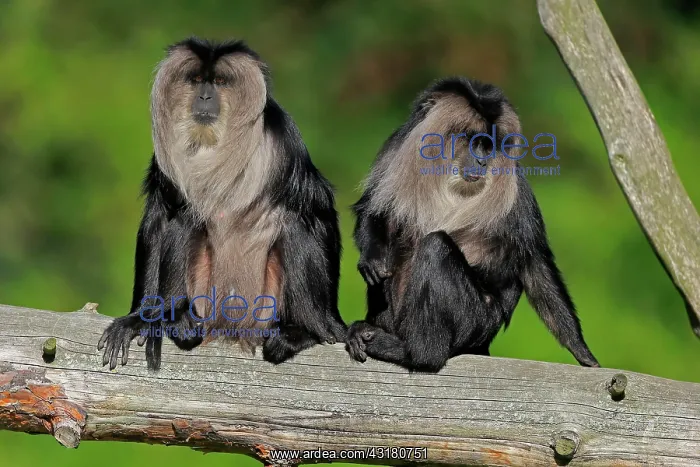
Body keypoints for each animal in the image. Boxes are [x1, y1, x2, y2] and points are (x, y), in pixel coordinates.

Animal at [98, 37, 346, 371]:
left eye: (219, 82)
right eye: (196, 80)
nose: (204, 96)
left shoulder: (285, 140)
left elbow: (317, 209)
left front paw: (329, 325)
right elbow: (160, 217)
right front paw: (140, 317)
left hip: (264, 309)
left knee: (297, 223)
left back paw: (300, 332)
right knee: (184, 218)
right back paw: (179, 320)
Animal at [345, 77, 599, 372]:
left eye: (488, 145)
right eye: (472, 140)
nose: (482, 160)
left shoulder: (516, 186)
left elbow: (534, 261)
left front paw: (583, 353)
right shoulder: (396, 149)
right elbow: (373, 210)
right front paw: (372, 257)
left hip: (476, 320)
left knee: (435, 246)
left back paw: (417, 353)